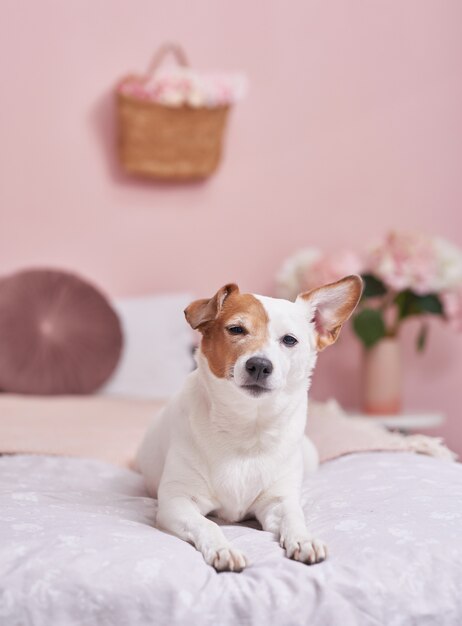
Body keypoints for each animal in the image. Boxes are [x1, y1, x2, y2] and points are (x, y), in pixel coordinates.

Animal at [135, 276, 362, 572]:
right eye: (236, 329)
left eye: (289, 340)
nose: (260, 365)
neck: (247, 426)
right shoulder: (177, 502)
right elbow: (207, 524)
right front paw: (224, 549)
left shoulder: (278, 501)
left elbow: (294, 517)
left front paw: (304, 539)